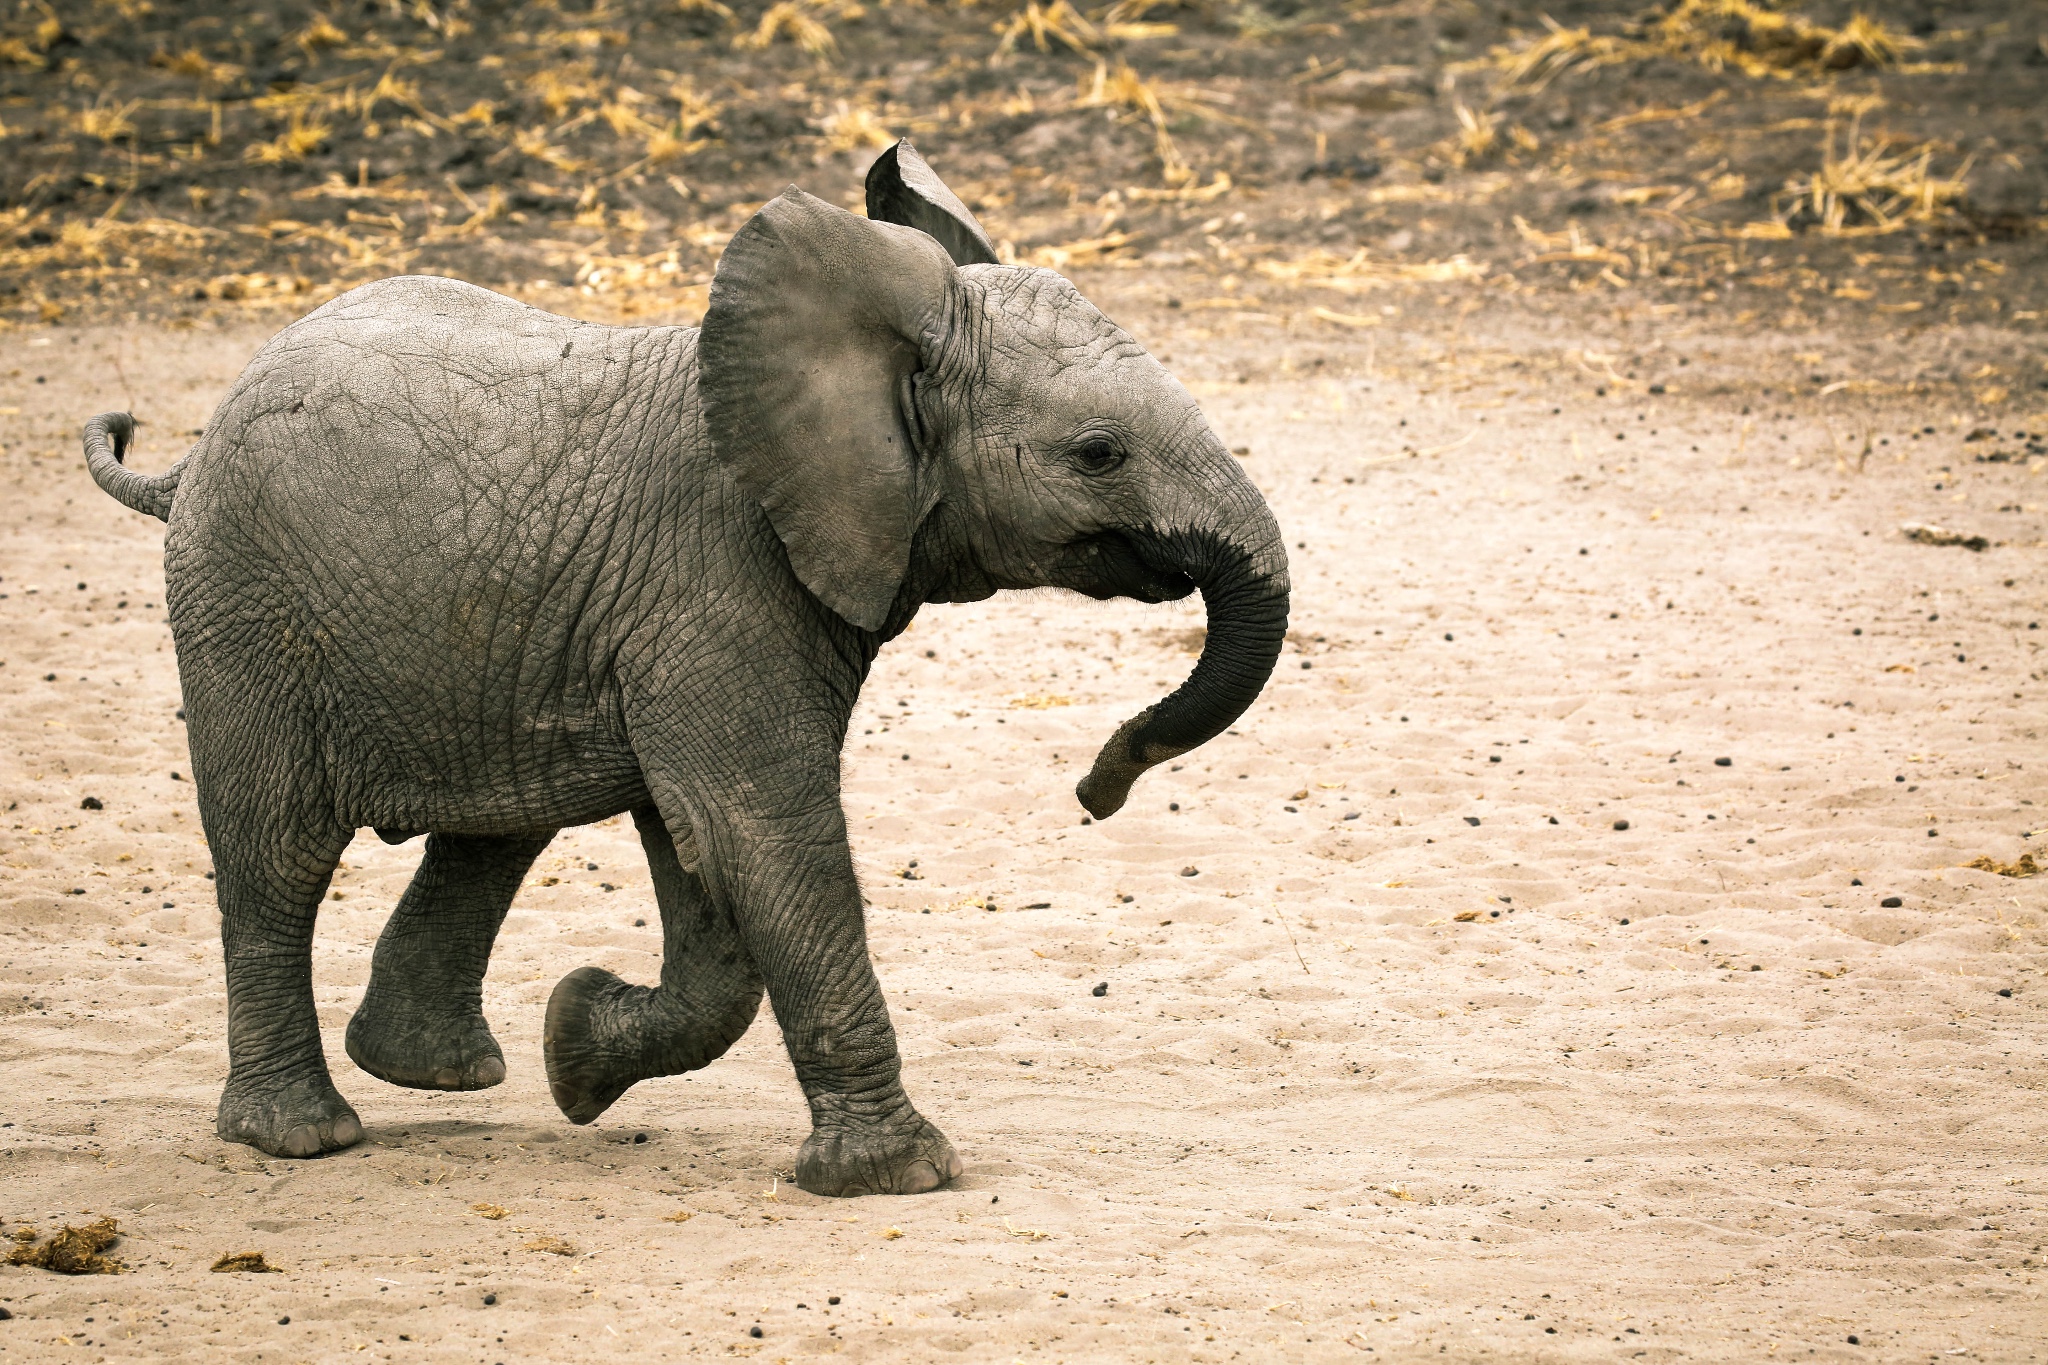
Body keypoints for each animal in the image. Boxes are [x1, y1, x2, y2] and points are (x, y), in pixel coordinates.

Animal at [92, 141, 1294, 1195]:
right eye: (1097, 454)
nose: (1094, 790)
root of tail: (188, 453)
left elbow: (710, 878)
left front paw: (576, 1049)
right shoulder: (717, 580)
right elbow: (760, 830)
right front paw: (900, 1179)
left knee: (493, 831)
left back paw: (442, 1073)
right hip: (243, 605)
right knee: (278, 853)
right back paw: (302, 1137)